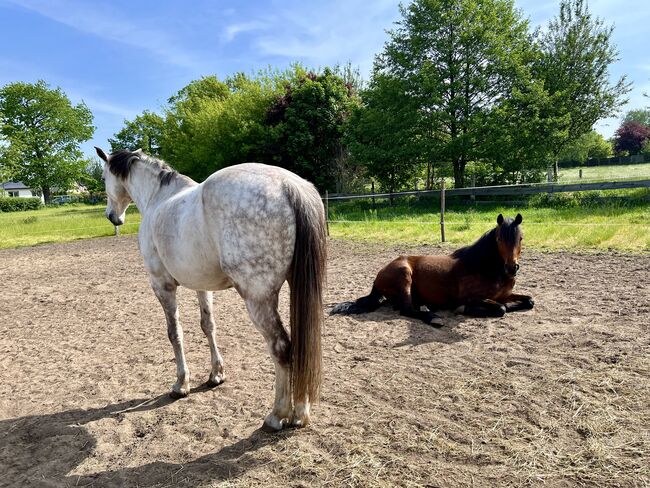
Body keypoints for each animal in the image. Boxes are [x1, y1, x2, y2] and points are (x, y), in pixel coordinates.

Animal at [95, 148, 324, 430]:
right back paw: (300, 413)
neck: (158, 197)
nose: (112, 216)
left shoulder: (162, 285)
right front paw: (216, 374)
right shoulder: (202, 286)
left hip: (258, 299)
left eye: (104, 177)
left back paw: (277, 415)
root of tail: (288, 185)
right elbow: (208, 326)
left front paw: (181, 384)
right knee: (301, 349)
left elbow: (175, 332)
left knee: (281, 347)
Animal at [332, 214, 536, 326]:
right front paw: (462, 309)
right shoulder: (472, 297)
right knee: (406, 310)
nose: (511, 268)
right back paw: (433, 318)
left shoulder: (504, 295)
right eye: (500, 239)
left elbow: (529, 301)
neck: (484, 267)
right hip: (403, 275)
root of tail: (378, 276)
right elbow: (501, 308)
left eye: (520, 238)